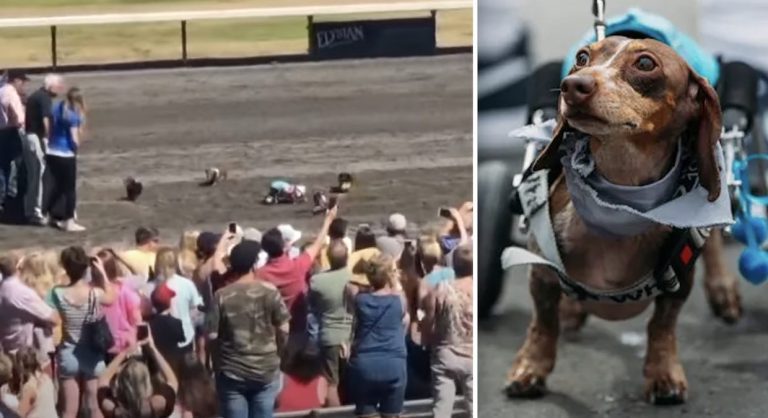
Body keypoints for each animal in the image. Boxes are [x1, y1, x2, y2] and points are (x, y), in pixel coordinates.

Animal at [504, 36, 736, 404]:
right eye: (582, 57)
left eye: (645, 63)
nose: (573, 86)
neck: (619, 205)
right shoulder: (540, 271)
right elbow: (543, 323)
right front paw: (530, 368)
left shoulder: (679, 280)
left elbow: (662, 326)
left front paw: (663, 373)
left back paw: (723, 290)